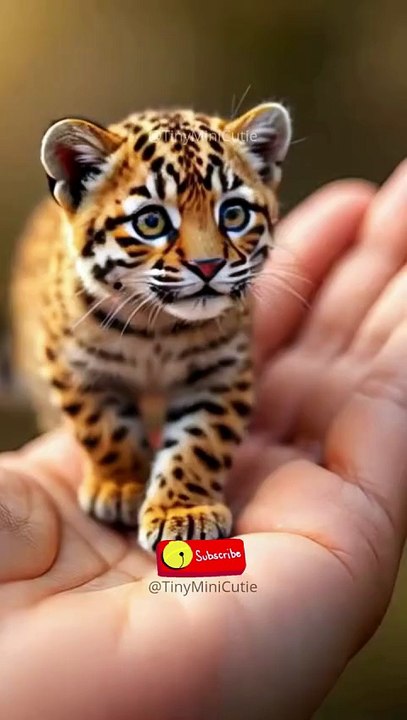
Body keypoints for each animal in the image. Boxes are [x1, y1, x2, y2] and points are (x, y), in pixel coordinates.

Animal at [11, 102, 291, 551]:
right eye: (152, 222)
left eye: (234, 214)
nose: (209, 266)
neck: (156, 328)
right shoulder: (74, 367)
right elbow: (104, 431)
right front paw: (122, 487)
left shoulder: (219, 372)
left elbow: (200, 443)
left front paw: (183, 512)